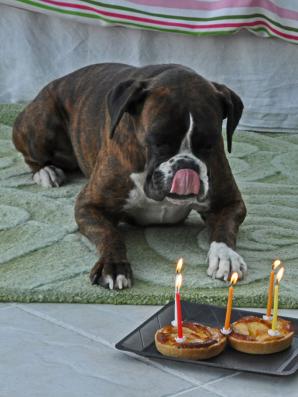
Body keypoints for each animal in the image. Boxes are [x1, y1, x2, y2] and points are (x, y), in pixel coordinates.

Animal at [12, 63, 247, 290]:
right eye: (158, 141)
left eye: (210, 144)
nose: (186, 166)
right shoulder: (89, 206)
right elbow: (110, 234)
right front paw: (114, 265)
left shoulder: (230, 203)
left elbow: (224, 230)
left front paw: (225, 256)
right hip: (41, 127)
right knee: (31, 156)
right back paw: (46, 172)